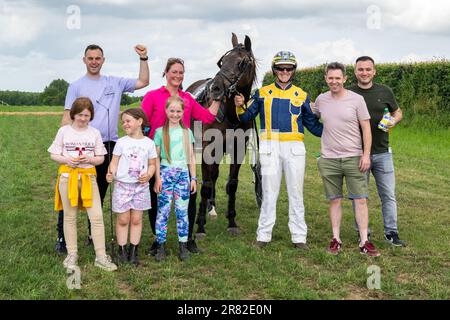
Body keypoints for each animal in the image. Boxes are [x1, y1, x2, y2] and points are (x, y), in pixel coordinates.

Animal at [185, 33, 256, 238]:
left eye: (241, 63)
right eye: (222, 62)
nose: (214, 88)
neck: (231, 115)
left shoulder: (238, 150)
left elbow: (231, 184)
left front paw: (231, 221)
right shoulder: (207, 149)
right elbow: (206, 184)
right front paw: (200, 226)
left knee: (215, 174)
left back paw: (212, 207)